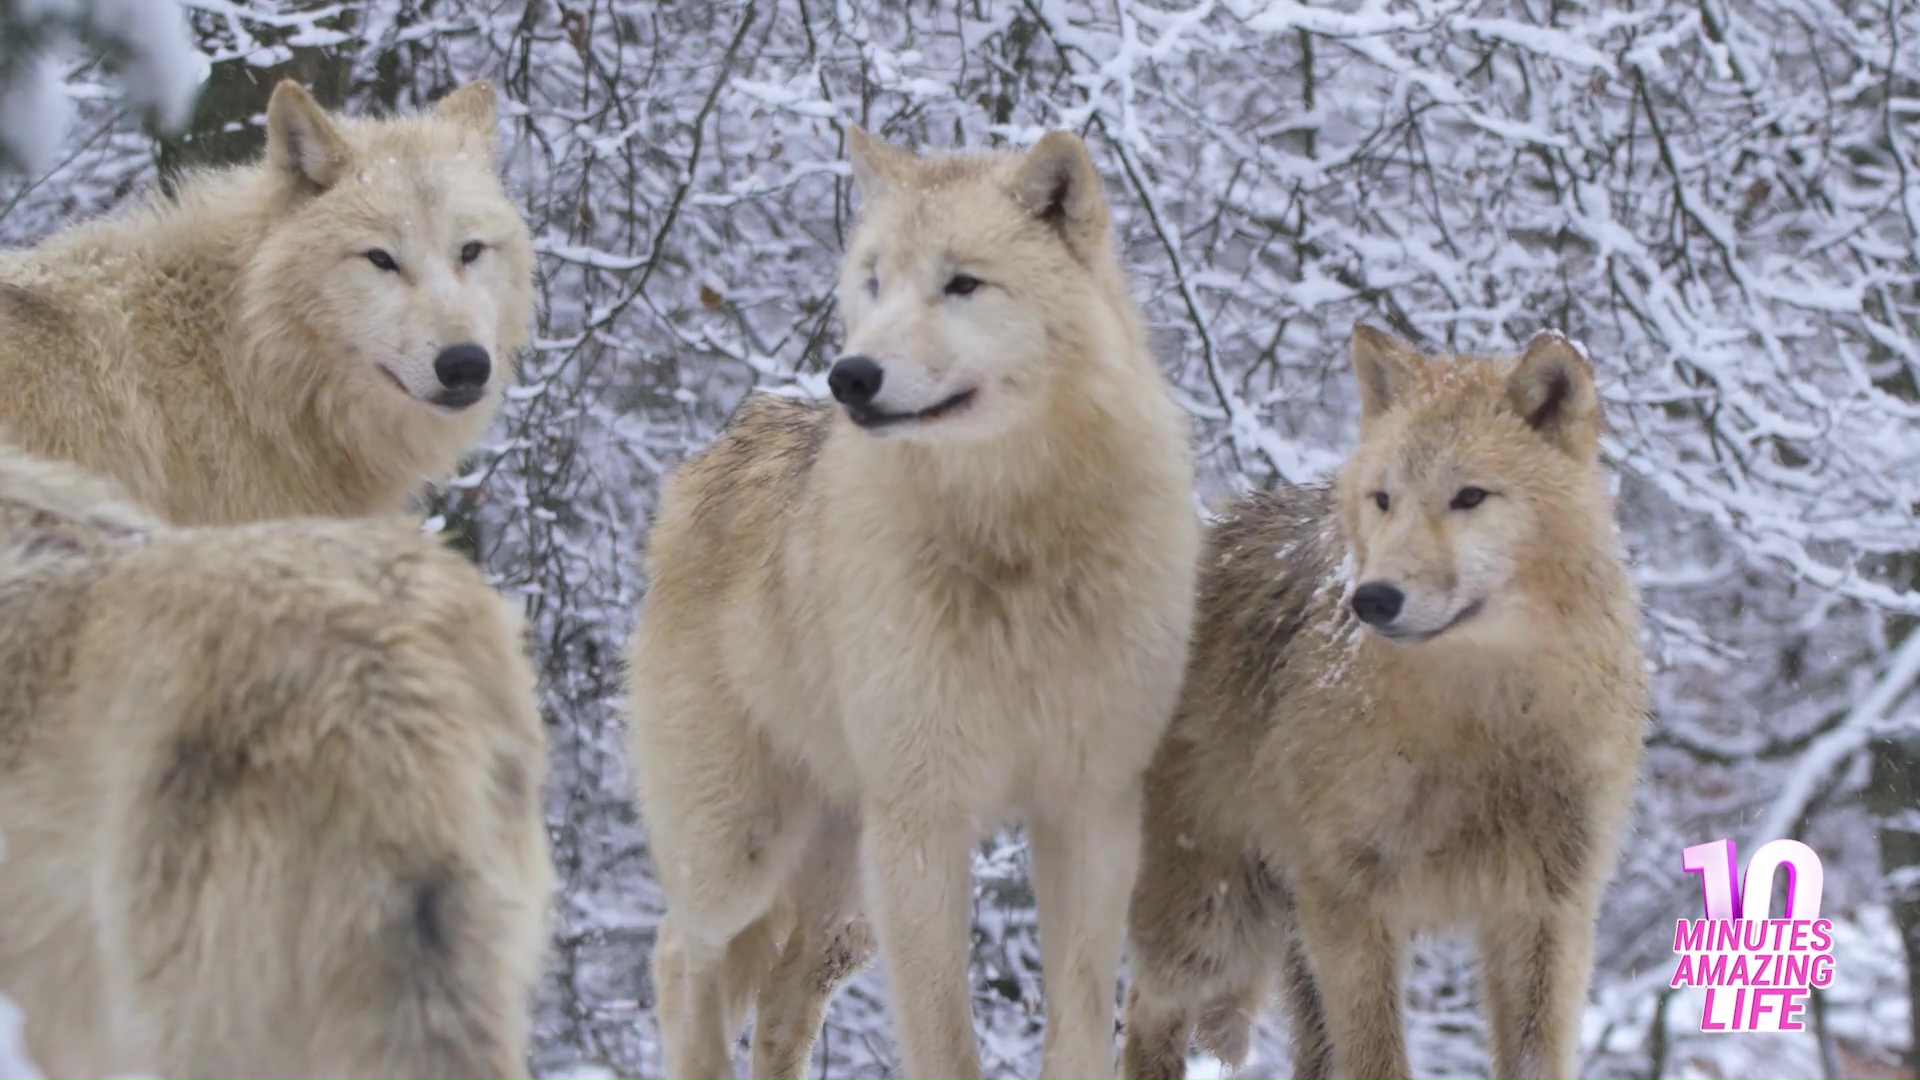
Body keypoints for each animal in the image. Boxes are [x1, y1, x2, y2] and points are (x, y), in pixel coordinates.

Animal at [624, 128, 1201, 1079]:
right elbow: (944, 1041)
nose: (850, 376)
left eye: (962, 283)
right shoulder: (925, 825)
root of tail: (724, 441)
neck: (1012, 542)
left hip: (846, 905)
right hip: (745, 853)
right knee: (679, 955)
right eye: (873, 281)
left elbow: (1081, 1022)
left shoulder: (1090, 811)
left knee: (782, 1000)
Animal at [1120, 326, 1648, 1080]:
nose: (1372, 599)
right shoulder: (1352, 899)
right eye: (1384, 499)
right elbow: (1378, 1058)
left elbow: (1534, 1056)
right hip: (1213, 920)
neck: (1484, 721)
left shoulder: (1548, 910)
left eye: (1469, 496)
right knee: (1144, 1007)